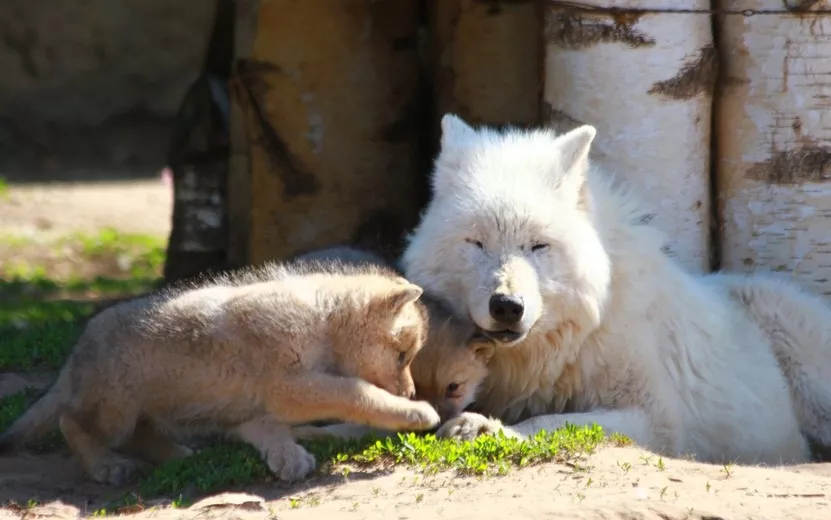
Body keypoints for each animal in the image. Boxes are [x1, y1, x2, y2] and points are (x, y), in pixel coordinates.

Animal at [398, 114, 831, 464]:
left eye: (538, 245)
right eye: (477, 243)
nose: (507, 305)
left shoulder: (656, 417)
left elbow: (553, 422)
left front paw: (486, 427)